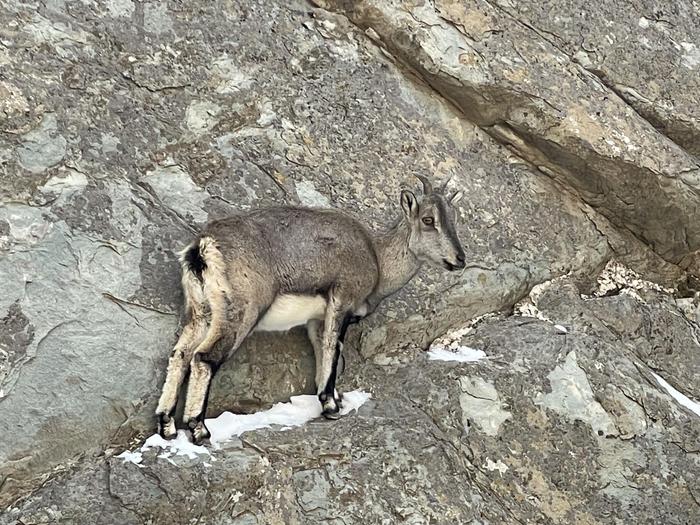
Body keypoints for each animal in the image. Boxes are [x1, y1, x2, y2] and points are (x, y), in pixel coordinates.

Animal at [157, 176, 464, 442]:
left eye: (453, 220)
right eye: (428, 220)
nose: (460, 259)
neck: (376, 257)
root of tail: (202, 248)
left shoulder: (317, 319)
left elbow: (322, 350)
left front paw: (333, 398)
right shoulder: (341, 301)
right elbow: (331, 348)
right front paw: (330, 406)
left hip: (200, 313)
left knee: (180, 354)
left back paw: (167, 425)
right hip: (240, 312)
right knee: (203, 358)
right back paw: (198, 428)